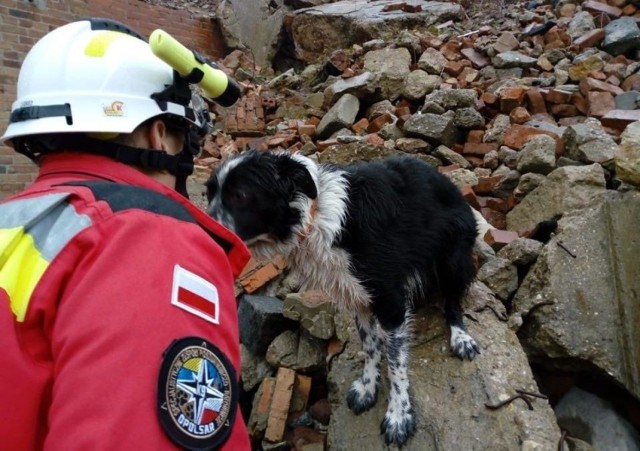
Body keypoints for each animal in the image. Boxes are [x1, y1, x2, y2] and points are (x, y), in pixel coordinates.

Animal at [205, 150, 480, 446]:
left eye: (240, 196)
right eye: (209, 194)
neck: (316, 217)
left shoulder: (389, 300)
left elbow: (396, 363)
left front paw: (398, 415)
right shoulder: (357, 297)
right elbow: (371, 346)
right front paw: (368, 387)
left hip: (453, 255)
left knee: (453, 301)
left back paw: (461, 337)